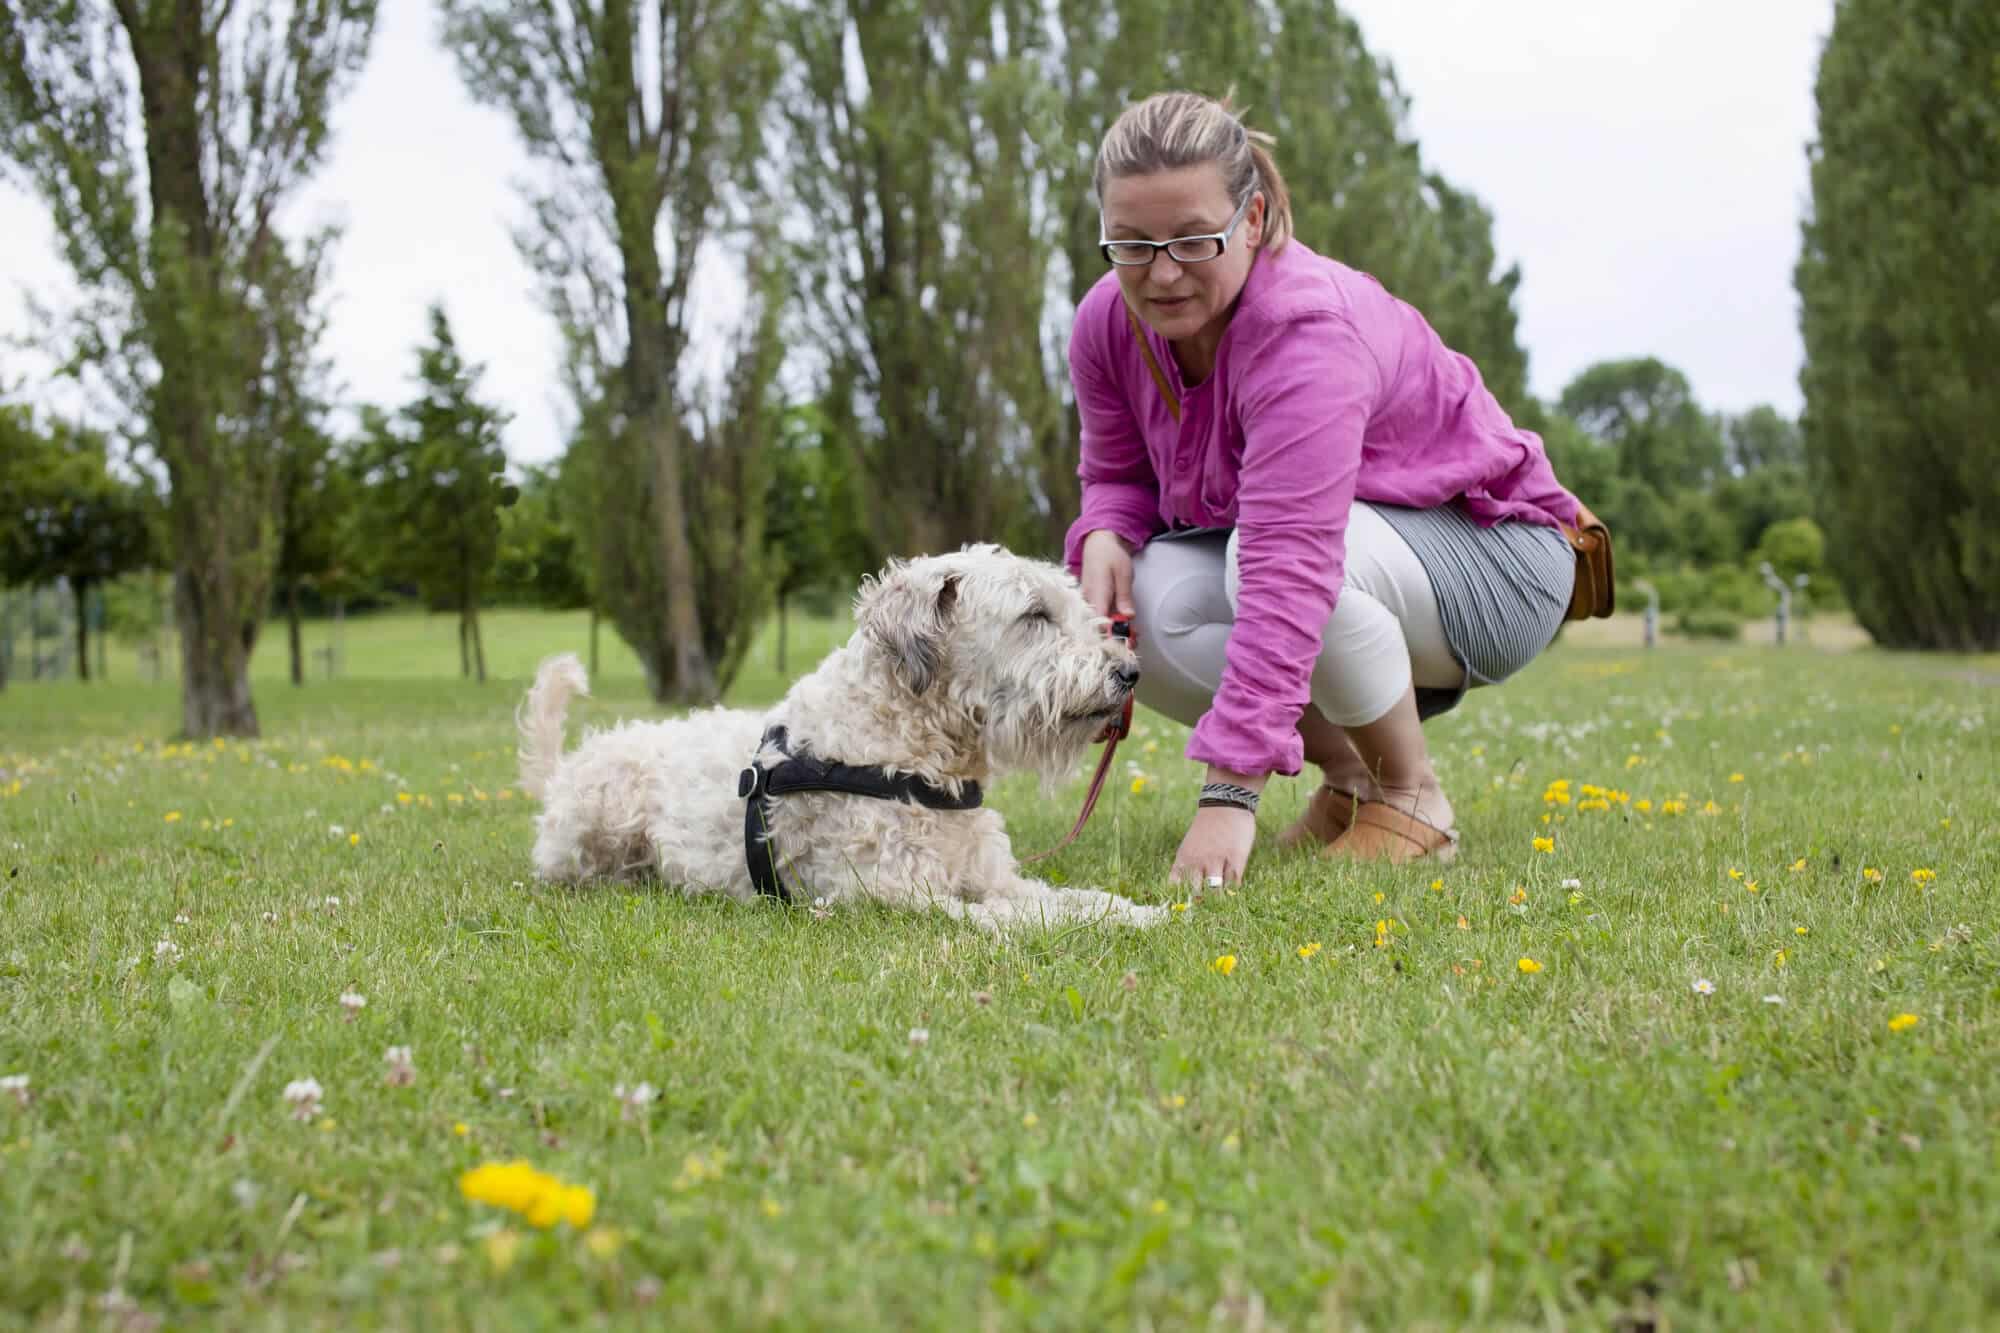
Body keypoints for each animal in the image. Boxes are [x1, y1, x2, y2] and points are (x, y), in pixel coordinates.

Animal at [520, 544, 1168, 928]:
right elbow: (1015, 916)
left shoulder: (991, 875)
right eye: (1034, 614)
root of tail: (564, 773)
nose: (1129, 672)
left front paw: (1147, 912)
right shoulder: (893, 892)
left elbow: (1074, 897)